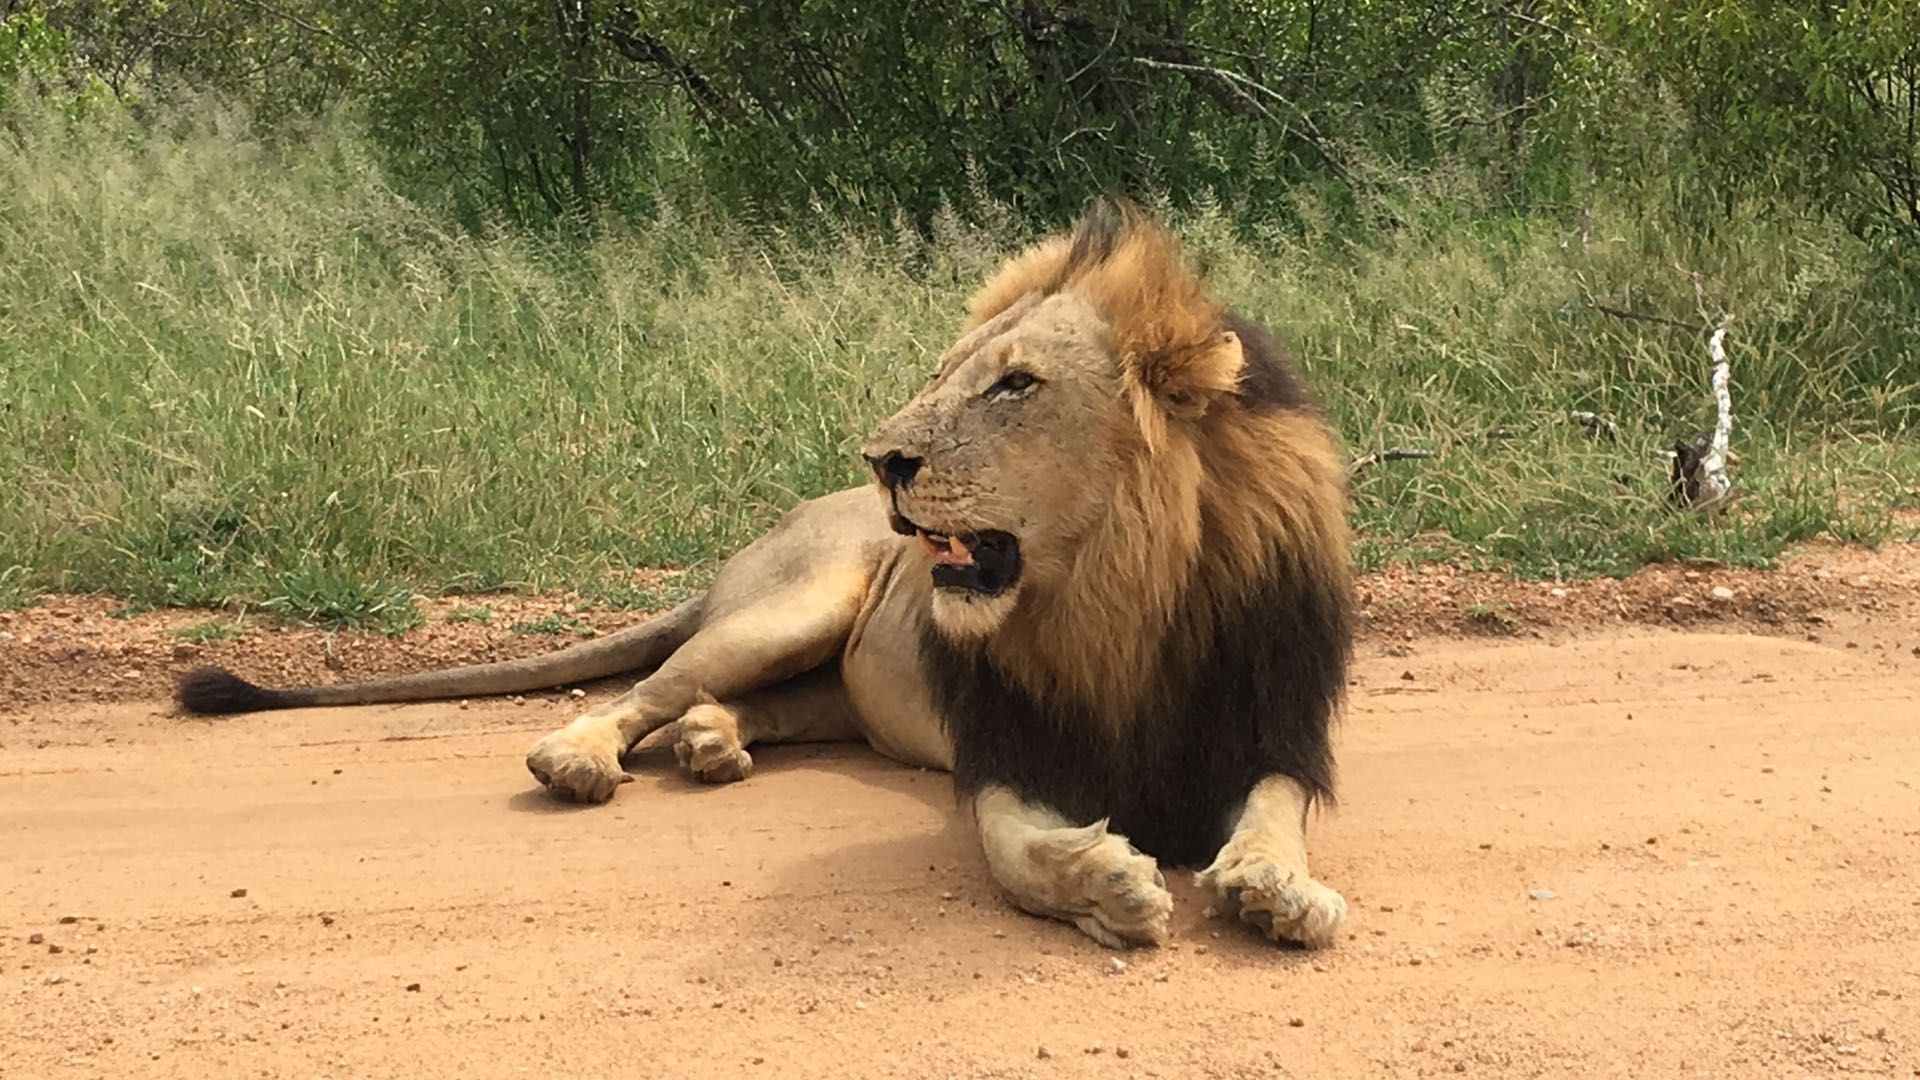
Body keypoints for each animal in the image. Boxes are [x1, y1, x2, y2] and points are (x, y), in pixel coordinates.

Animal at [176, 197, 1351, 945]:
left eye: (1016, 385)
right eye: (943, 375)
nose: (882, 458)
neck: (1121, 603)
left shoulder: (1276, 729)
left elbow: (1275, 814)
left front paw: (1278, 891)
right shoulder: (1006, 751)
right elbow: (1015, 849)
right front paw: (1109, 890)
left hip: (829, 684)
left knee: (747, 709)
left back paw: (711, 747)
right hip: (794, 608)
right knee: (639, 695)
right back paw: (583, 758)